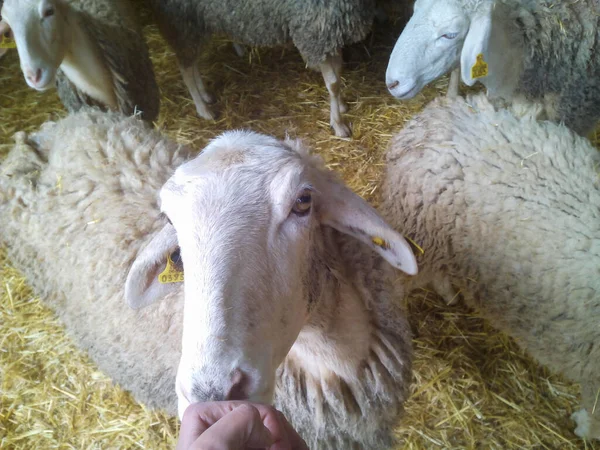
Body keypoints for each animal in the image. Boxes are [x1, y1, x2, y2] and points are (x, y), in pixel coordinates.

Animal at [147, 0, 378, 137]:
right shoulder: (314, 31)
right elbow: (333, 83)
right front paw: (338, 124)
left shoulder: (330, 32)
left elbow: (338, 72)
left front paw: (340, 107)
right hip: (184, 23)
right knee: (185, 67)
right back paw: (203, 109)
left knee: (191, 63)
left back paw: (205, 95)